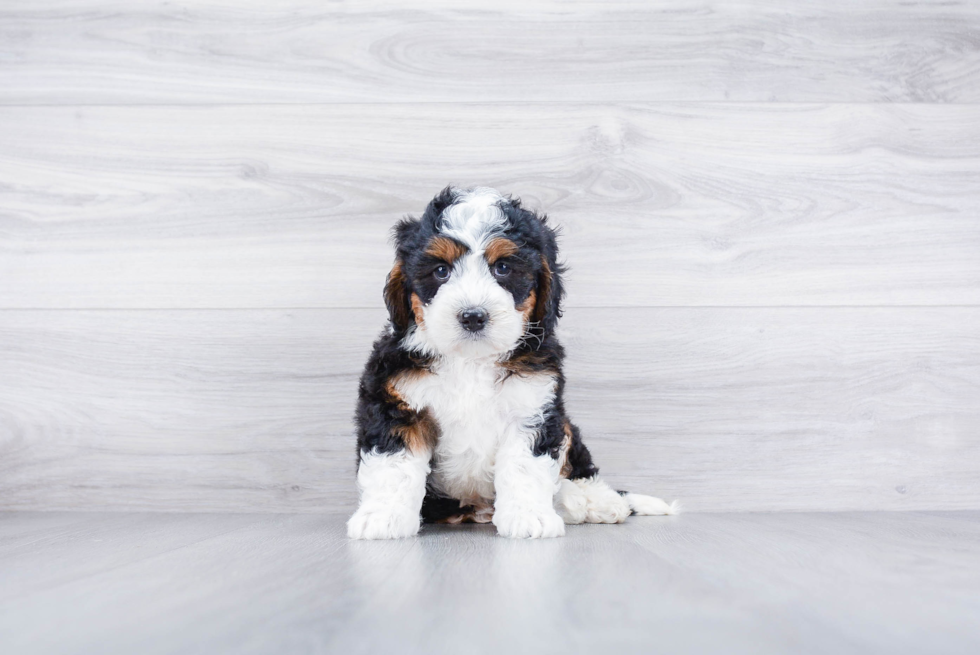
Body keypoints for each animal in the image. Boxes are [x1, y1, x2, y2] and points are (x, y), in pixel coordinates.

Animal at [348, 187, 676, 540]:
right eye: (441, 271)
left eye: (503, 268)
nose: (473, 316)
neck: (471, 359)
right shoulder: (397, 405)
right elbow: (393, 465)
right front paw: (382, 517)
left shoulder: (532, 405)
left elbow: (524, 466)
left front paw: (529, 517)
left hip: (564, 427)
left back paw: (596, 501)